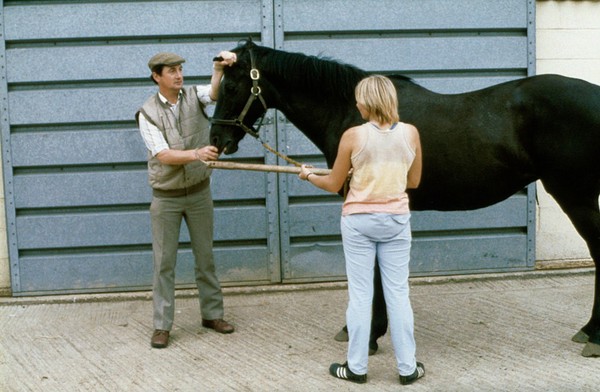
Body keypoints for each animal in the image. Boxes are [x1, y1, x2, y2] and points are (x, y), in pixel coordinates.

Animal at [210, 40, 600, 358]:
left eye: (230, 86)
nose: (217, 140)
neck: (359, 115)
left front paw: (367, 336)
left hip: (575, 194)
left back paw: (592, 335)